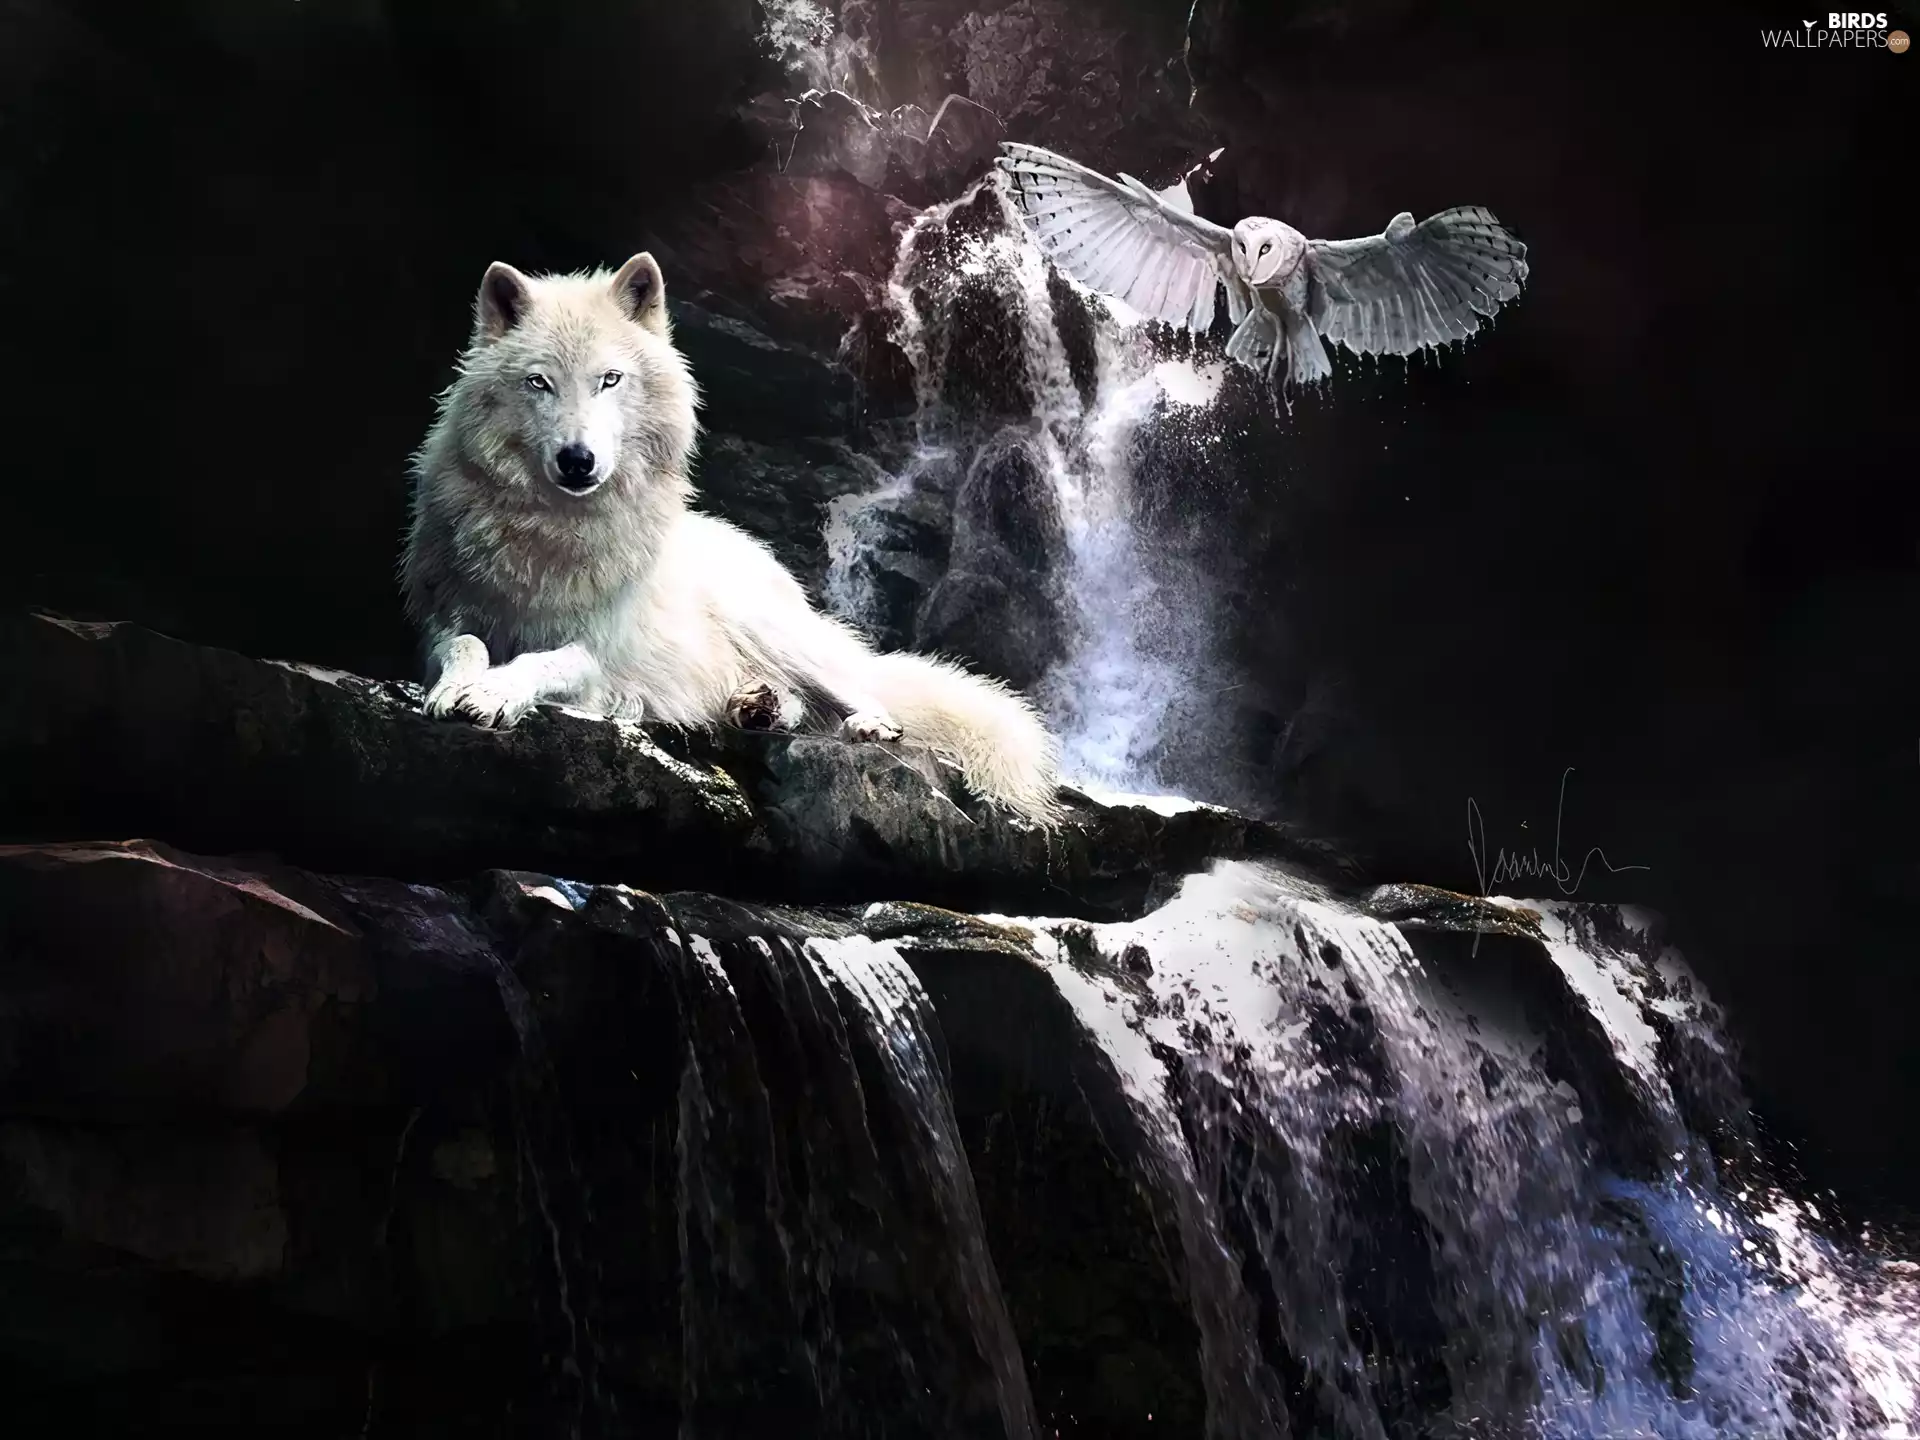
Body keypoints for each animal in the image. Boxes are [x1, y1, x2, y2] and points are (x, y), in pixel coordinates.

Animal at [400, 252, 1061, 823]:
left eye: (610, 379)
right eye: (539, 383)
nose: (577, 460)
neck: (553, 533)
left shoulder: (602, 652)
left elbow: (542, 660)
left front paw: (493, 694)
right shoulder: (443, 617)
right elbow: (466, 646)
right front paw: (457, 687)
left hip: (770, 628)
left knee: (862, 693)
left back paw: (862, 723)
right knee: (795, 705)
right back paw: (754, 707)